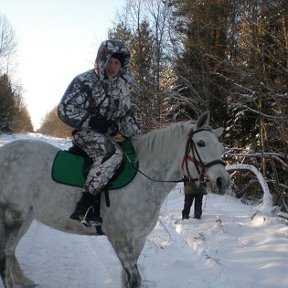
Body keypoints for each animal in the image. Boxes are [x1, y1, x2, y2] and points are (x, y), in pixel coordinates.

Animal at [0, 111, 230, 286]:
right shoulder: (119, 239)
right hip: (14, 217)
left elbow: (126, 279)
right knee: (5, 256)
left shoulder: (138, 240)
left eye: (221, 148)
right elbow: (134, 279)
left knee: (10, 254)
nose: (222, 182)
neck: (143, 178)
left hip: (24, 219)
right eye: (200, 143)